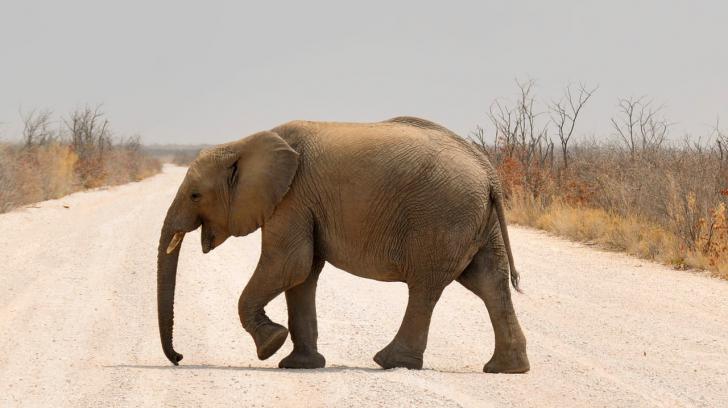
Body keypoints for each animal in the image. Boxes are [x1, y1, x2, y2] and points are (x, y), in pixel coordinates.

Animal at [156, 115, 528, 372]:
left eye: (195, 195)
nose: (179, 357)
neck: (243, 145)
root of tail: (489, 173)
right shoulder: (302, 204)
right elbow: (302, 274)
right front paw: (299, 364)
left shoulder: (292, 198)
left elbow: (289, 264)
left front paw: (271, 346)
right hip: (477, 220)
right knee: (489, 282)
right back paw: (506, 369)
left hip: (441, 216)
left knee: (426, 286)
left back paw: (390, 362)